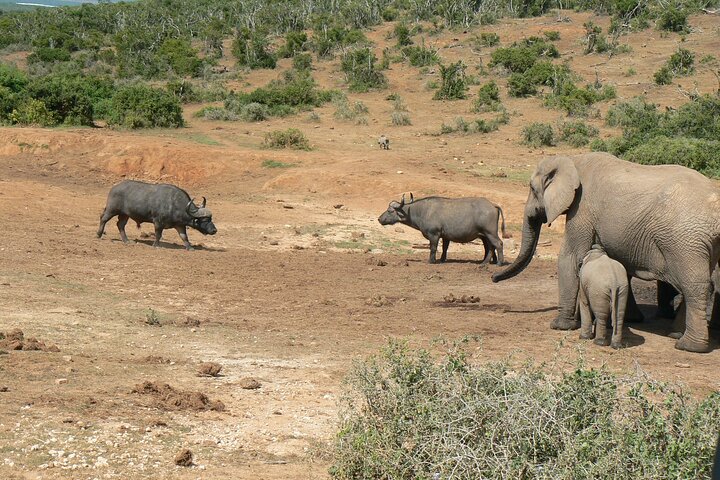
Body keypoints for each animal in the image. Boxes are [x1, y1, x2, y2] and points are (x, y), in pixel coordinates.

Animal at [492, 152, 720, 353]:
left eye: (532, 187)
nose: (493, 278)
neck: (573, 160)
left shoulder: (582, 208)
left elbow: (569, 257)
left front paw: (559, 326)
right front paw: (630, 319)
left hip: (685, 241)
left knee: (695, 286)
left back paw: (688, 346)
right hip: (704, 243)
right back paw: (676, 335)